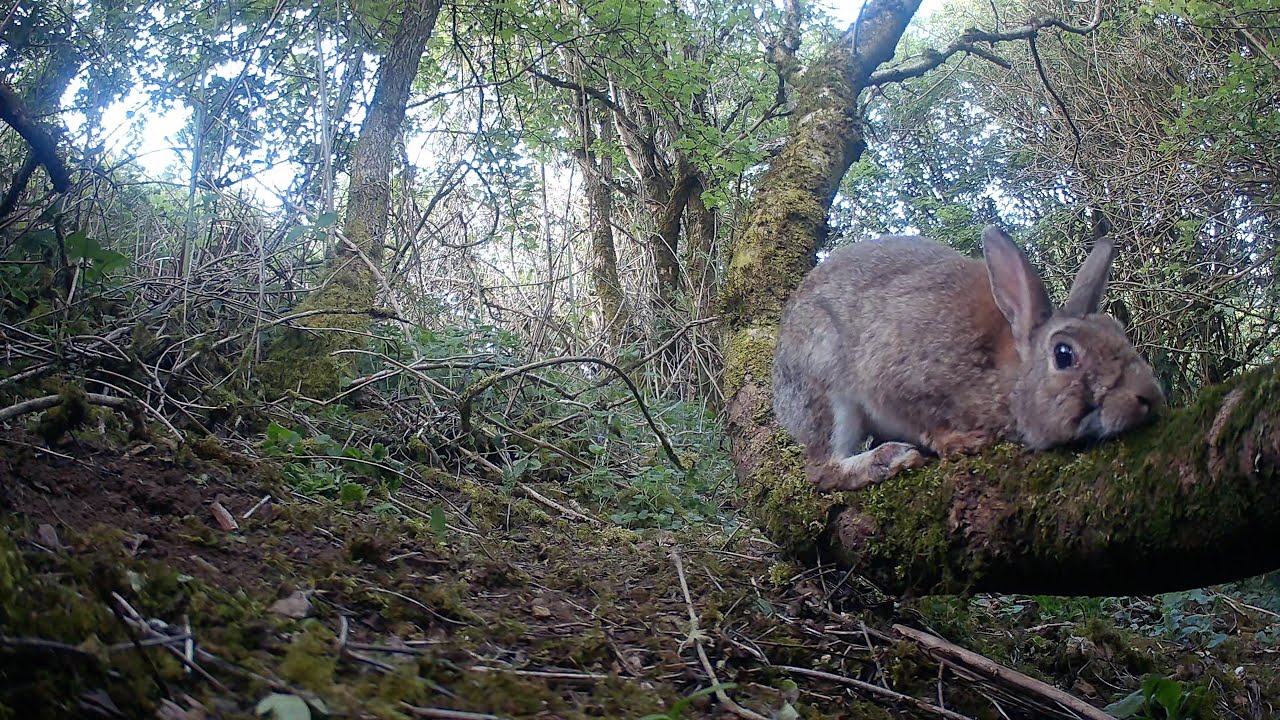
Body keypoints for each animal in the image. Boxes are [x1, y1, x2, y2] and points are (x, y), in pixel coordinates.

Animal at [772, 224, 1165, 492]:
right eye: (1064, 354)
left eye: (1117, 330)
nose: (1148, 397)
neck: (1010, 378)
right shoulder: (894, 378)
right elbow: (925, 421)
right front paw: (960, 442)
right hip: (824, 379)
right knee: (822, 468)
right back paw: (887, 459)